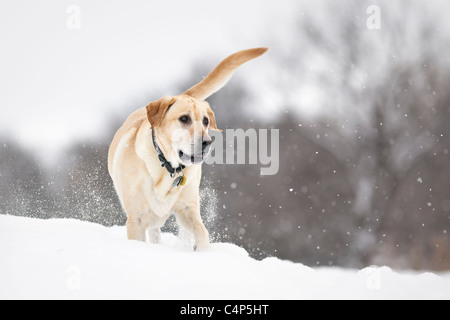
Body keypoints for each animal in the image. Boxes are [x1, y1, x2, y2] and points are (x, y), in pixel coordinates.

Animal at [107, 48, 268, 250]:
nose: (207, 142)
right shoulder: (136, 219)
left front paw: (202, 250)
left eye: (206, 121)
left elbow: (202, 231)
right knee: (154, 231)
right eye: (184, 119)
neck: (167, 168)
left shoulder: (187, 209)